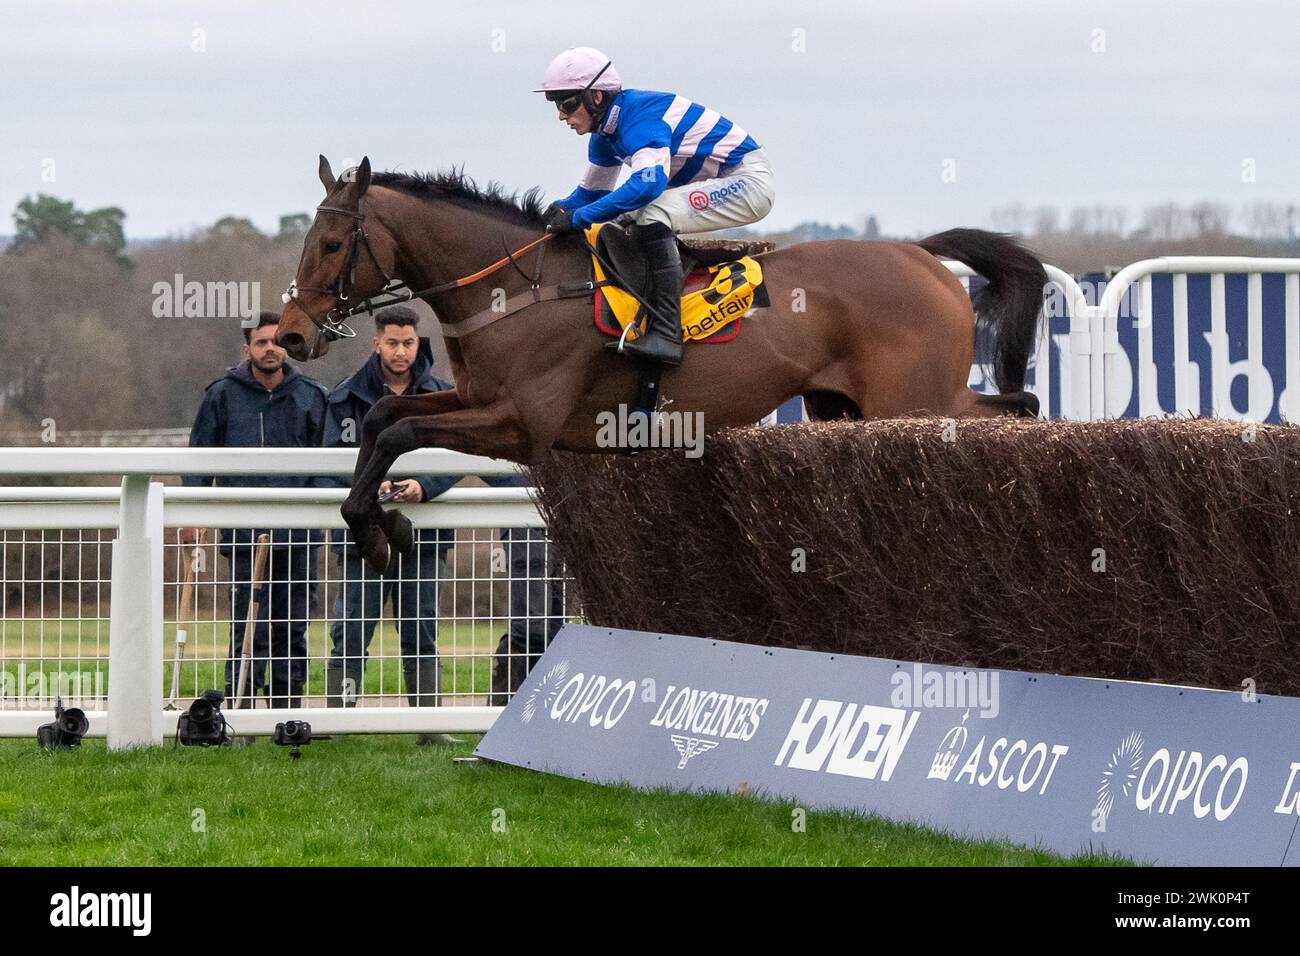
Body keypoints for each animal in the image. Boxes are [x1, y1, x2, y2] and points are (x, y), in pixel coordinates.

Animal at [274, 154, 1045, 572]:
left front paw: (381, 530)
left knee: (1016, 409)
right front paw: (379, 527)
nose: (291, 337)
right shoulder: (473, 399)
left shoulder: (521, 426)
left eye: (334, 245)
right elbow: (383, 413)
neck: (515, 288)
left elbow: (402, 430)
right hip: (846, 407)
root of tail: (921, 252)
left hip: (909, 401)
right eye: (307, 240)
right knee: (1016, 406)